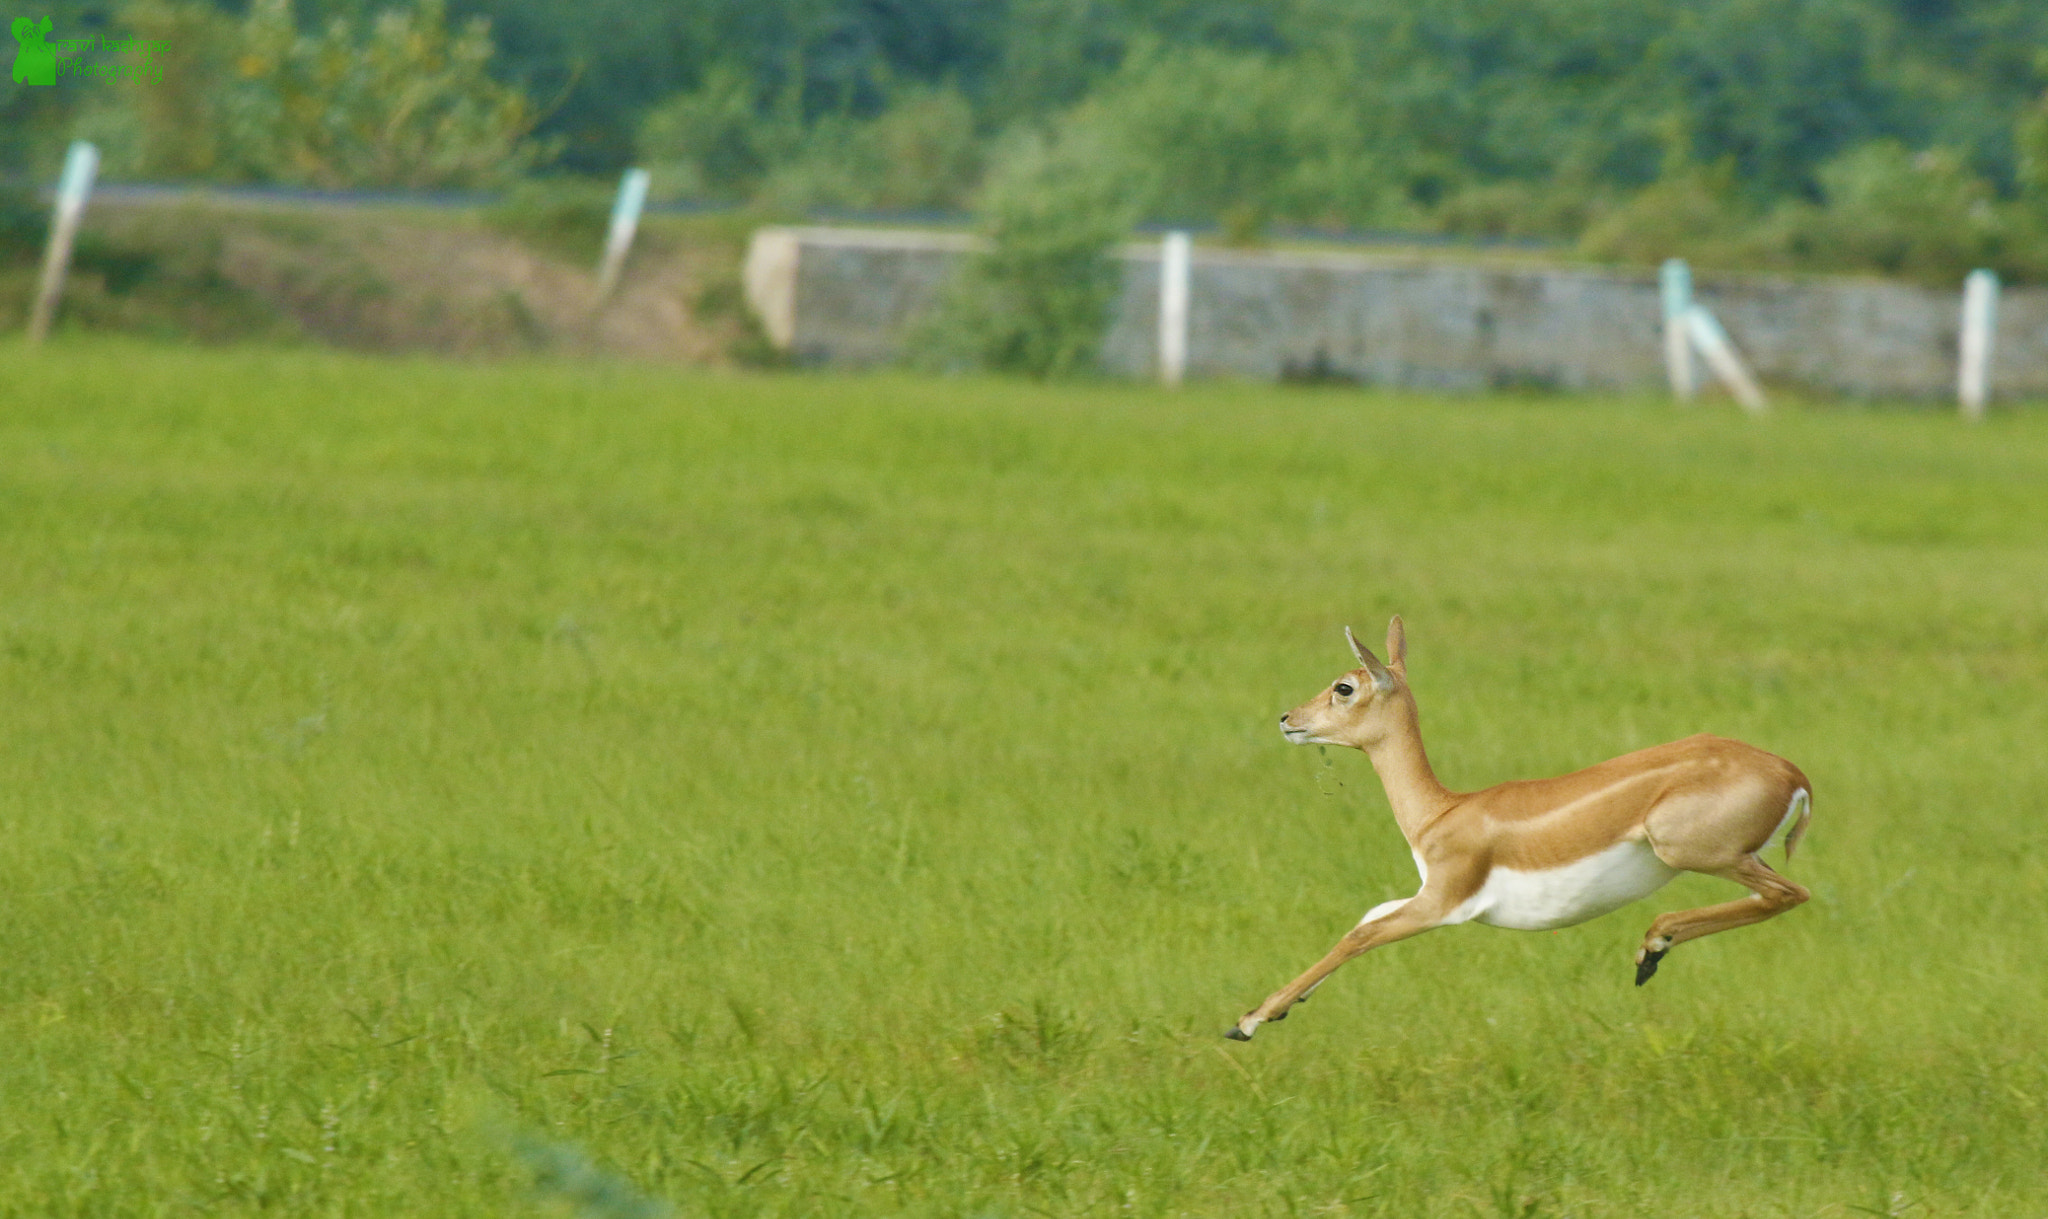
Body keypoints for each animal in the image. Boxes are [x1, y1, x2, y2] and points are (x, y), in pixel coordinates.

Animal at [1220, 618, 1818, 1040]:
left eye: (1343, 686)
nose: (1288, 719)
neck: (1442, 812)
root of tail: (1794, 774)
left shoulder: (1443, 902)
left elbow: (1360, 935)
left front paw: (1247, 1021)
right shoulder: (1421, 893)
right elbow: (1365, 917)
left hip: (1689, 849)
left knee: (1791, 894)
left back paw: (1653, 945)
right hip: (1738, 855)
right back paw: (1651, 953)